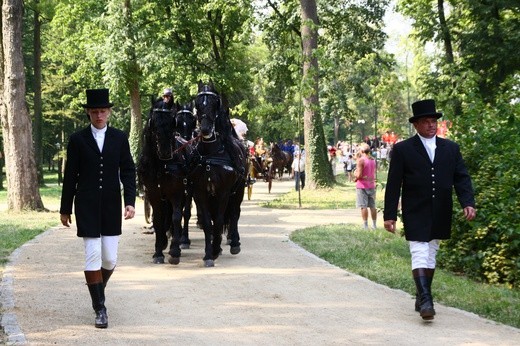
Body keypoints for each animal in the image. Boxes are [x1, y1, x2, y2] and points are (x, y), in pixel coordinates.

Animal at [137, 104, 196, 264]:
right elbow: (158, 219)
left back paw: (182, 238)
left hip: (188, 190)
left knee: (183, 213)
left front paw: (175, 250)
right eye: (153, 124)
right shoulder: (153, 194)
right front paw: (158, 251)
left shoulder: (177, 192)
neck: (160, 165)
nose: (165, 152)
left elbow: (177, 216)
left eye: (172, 123)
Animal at [191, 82, 248, 268]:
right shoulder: (201, 192)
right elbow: (209, 223)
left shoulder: (223, 192)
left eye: (215, 103)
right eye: (197, 103)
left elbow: (220, 220)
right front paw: (209, 254)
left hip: (238, 191)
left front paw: (216, 249)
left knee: (234, 214)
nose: (205, 129)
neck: (211, 154)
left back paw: (234, 242)